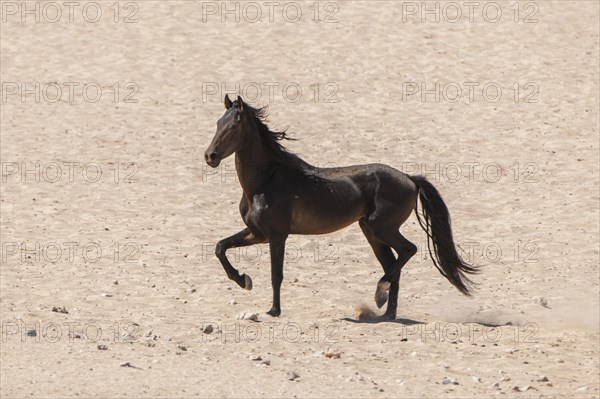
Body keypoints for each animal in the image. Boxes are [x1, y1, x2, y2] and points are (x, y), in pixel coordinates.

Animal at [204, 94, 476, 318]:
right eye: (218, 123)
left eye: (234, 125)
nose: (210, 156)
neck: (265, 182)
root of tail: (410, 178)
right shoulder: (257, 234)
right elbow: (220, 247)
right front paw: (243, 280)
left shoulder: (277, 236)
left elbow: (276, 274)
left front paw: (274, 310)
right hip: (372, 233)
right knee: (393, 264)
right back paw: (386, 313)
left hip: (382, 228)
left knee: (408, 251)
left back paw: (380, 294)